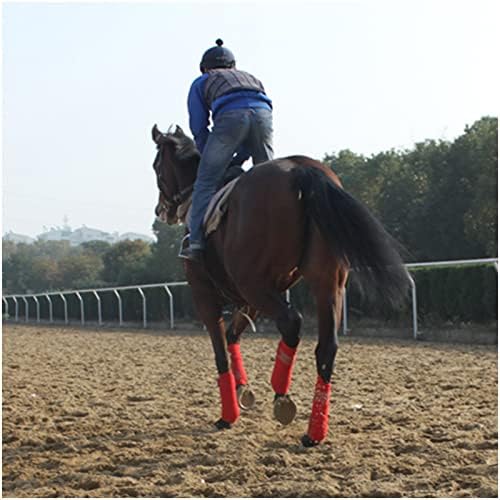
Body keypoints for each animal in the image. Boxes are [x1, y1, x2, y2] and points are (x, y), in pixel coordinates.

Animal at [150, 123, 408, 448]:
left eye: (156, 165)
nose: (161, 210)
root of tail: (301, 170)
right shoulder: (248, 300)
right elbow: (233, 335)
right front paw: (243, 389)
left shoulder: (206, 293)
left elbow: (220, 351)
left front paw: (228, 414)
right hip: (327, 283)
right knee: (326, 347)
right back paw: (313, 431)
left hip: (256, 283)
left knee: (292, 321)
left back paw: (281, 395)